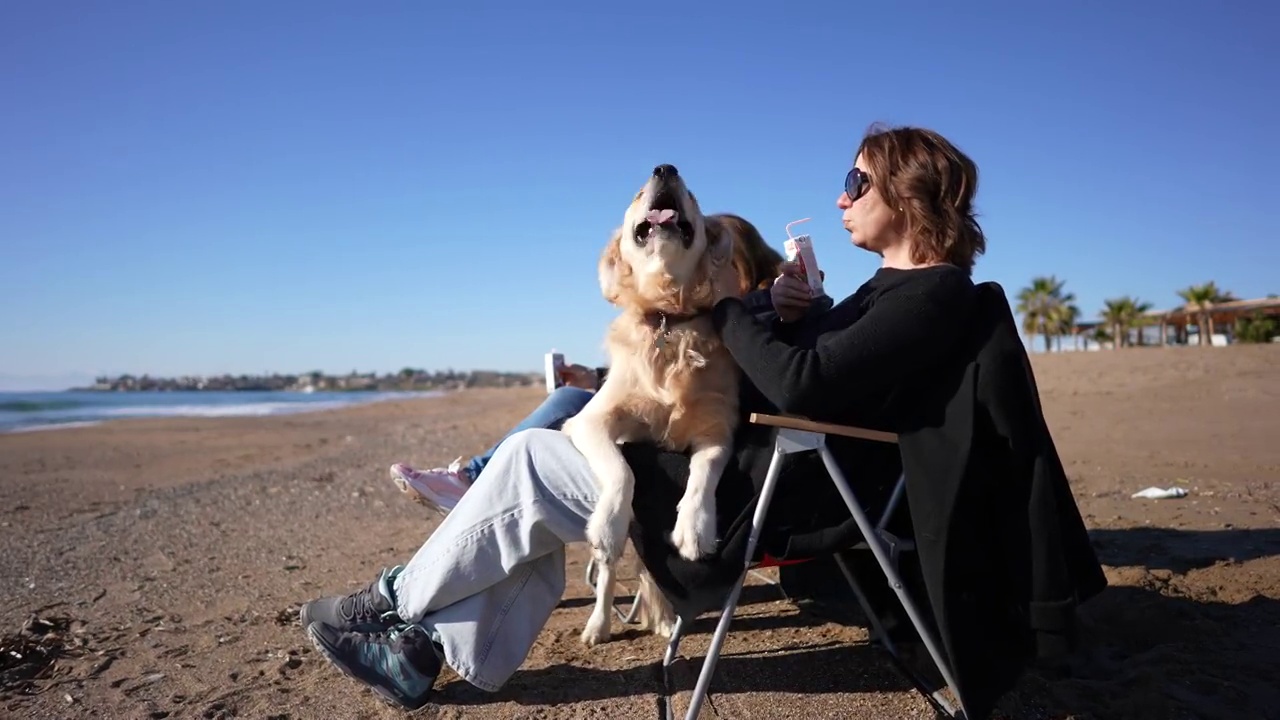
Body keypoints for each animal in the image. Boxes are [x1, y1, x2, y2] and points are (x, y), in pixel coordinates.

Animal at [563, 163, 747, 645]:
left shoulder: (717, 429)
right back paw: (599, 623)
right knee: (609, 572)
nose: (665, 168)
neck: (670, 319)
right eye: (636, 193)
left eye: (693, 194)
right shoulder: (590, 421)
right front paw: (608, 521)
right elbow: (621, 471)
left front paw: (695, 528)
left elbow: (704, 472)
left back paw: (663, 616)